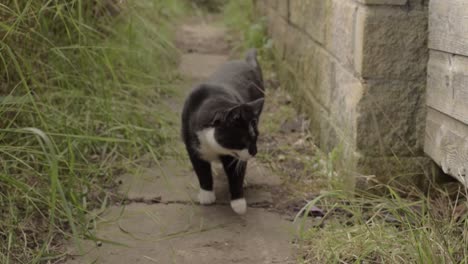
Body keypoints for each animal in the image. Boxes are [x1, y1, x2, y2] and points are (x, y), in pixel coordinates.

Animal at [181, 49, 266, 214]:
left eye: (256, 137)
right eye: (245, 139)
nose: (254, 152)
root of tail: (245, 61)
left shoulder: (232, 156)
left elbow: (236, 173)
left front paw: (238, 203)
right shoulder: (192, 145)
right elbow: (201, 170)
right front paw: (206, 195)